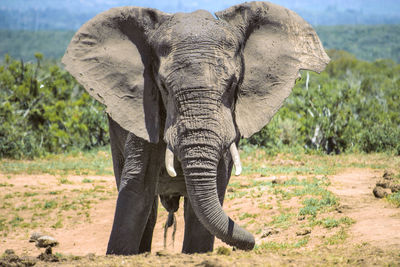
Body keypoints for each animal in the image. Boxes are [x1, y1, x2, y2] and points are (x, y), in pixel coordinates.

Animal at [61, 0, 326, 255]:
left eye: (233, 85)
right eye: (164, 87)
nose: (253, 241)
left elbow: (214, 186)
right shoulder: (145, 109)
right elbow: (137, 187)